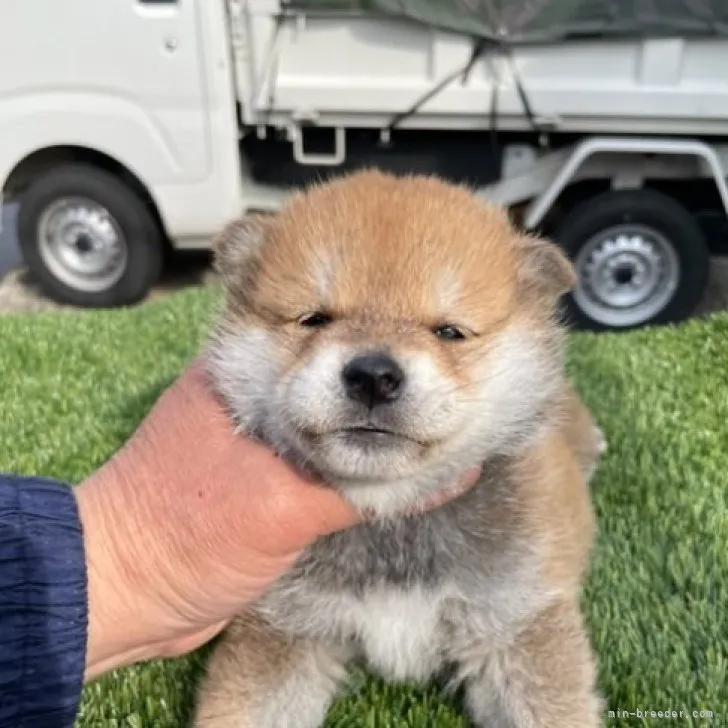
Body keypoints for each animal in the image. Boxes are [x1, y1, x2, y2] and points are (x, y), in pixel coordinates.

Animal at [192, 169, 604, 728]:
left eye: (449, 331)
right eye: (314, 319)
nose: (373, 375)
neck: (391, 518)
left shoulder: (516, 622)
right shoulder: (283, 627)